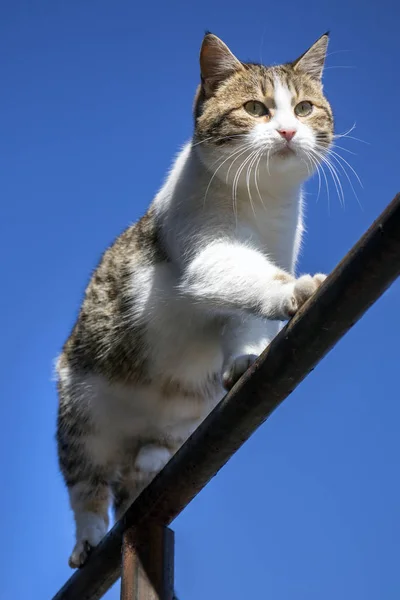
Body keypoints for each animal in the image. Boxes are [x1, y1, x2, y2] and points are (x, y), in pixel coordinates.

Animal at [55, 31, 332, 568]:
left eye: (305, 107)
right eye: (255, 108)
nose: (289, 131)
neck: (259, 200)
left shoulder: (267, 256)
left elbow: (241, 321)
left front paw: (243, 359)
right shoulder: (207, 254)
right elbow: (248, 276)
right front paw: (293, 289)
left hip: (182, 417)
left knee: (142, 461)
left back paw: (153, 454)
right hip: (80, 415)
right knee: (88, 486)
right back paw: (87, 536)